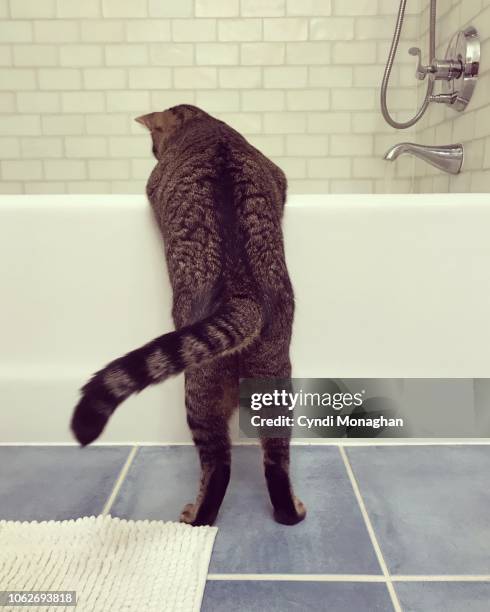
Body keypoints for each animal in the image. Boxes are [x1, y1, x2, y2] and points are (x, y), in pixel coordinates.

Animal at [70, 105, 304, 524]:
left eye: (153, 145)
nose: (153, 152)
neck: (204, 124)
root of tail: (242, 295)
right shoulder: (278, 175)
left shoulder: (153, 184)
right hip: (274, 375)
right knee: (276, 457)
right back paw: (289, 511)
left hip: (201, 388)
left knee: (218, 465)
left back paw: (197, 516)